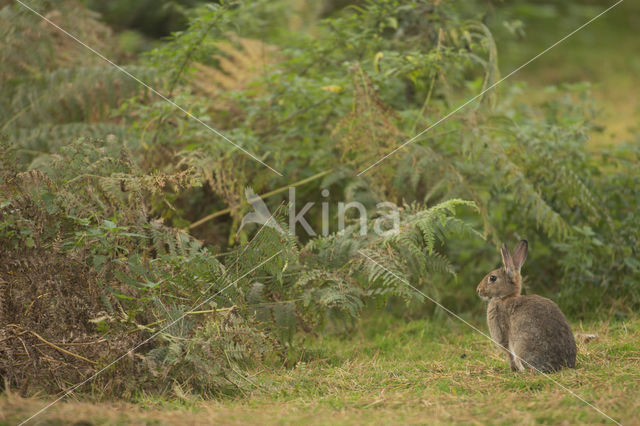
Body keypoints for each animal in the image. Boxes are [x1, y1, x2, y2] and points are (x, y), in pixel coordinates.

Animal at [476, 240, 576, 372]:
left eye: (492, 278)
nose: (478, 290)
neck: (505, 297)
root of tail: (559, 365)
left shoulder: (503, 337)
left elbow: (509, 355)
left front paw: (512, 369)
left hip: (522, 346)